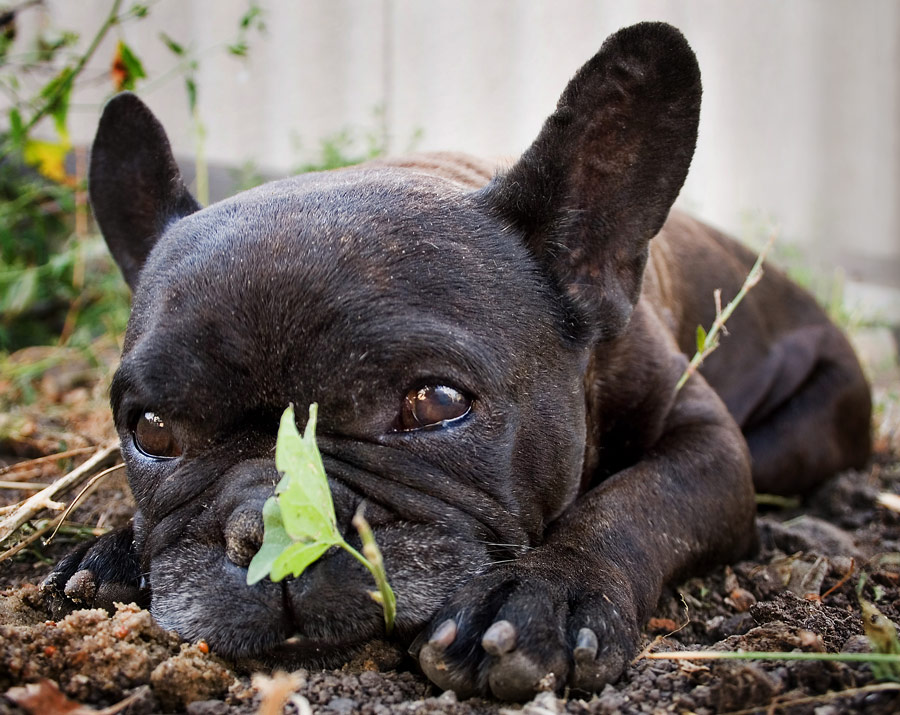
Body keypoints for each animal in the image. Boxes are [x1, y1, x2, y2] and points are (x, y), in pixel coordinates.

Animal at [44, 21, 872, 700]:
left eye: (436, 403)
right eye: (150, 430)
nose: (268, 522)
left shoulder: (706, 444)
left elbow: (635, 499)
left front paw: (545, 591)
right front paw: (114, 549)